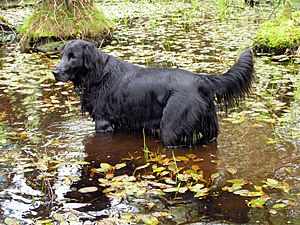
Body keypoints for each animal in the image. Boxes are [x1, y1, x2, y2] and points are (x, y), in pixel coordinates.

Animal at [52, 39, 253, 147]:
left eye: (73, 57)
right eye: (61, 56)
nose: (55, 72)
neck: (99, 74)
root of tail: (200, 79)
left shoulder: (103, 122)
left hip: (171, 128)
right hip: (209, 129)